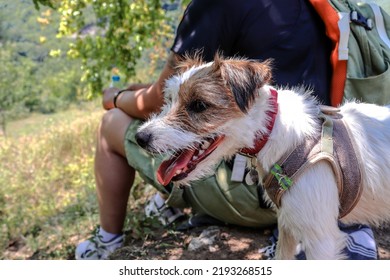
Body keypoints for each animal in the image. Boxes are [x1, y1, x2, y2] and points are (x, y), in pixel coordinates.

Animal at [136, 55, 390, 260]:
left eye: (199, 105)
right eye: (169, 100)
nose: (140, 137)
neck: (275, 130)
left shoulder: (321, 241)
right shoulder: (287, 224)